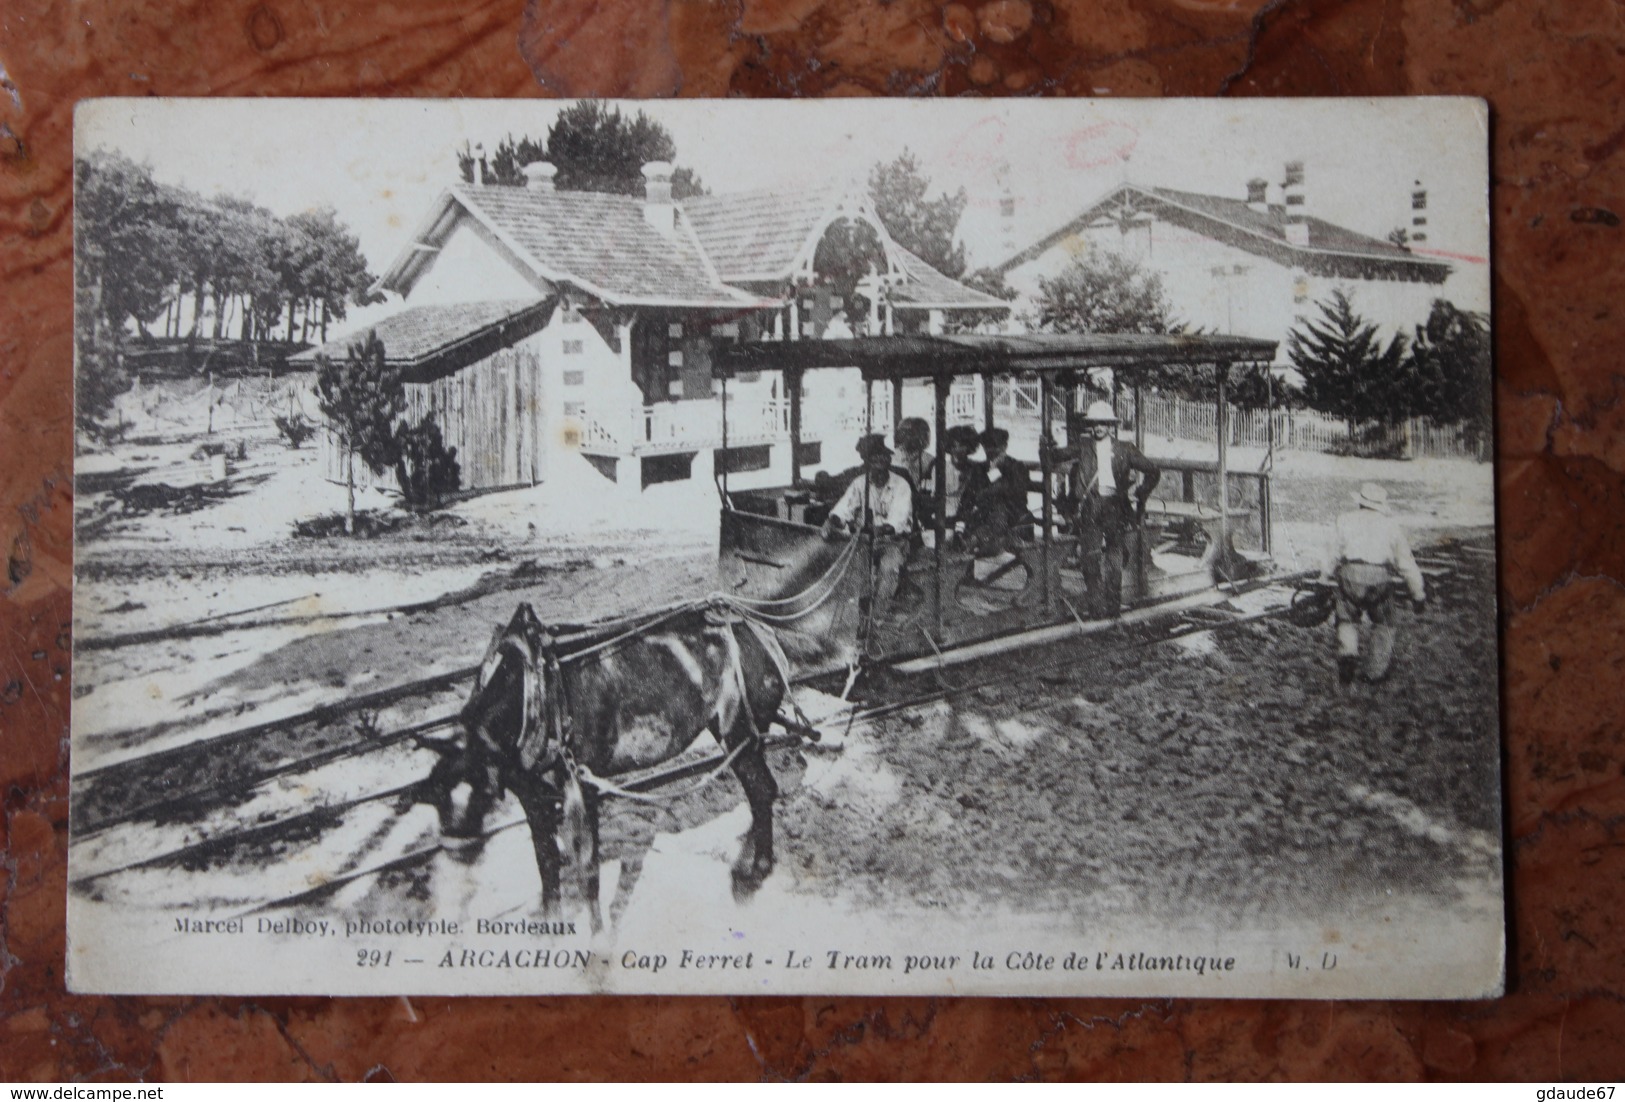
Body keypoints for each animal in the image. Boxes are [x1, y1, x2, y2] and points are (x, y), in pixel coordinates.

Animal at [422, 604, 796, 929]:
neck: (533, 690)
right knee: (760, 791)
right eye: (435, 797)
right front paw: (551, 926)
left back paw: (755, 871)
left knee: (761, 790)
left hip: (740, 732)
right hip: (737, 736)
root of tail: (761, 634)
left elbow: (588, 871)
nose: (454, 850)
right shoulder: (532, 795)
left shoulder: (582, 788)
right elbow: (546, 861)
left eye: (477, 789)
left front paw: (597, 942)